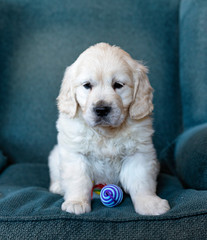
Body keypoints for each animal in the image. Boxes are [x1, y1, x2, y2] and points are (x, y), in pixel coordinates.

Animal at [48, 42, 170, 216]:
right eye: (87, 85)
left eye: (118, 85)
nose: (101, 109)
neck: (106, 133)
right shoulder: (75, 153)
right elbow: (78, 180)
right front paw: (77, 202)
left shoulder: (139, 154)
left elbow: (141, 181)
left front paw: (150, 204)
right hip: (54, 156)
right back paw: (58, 186)